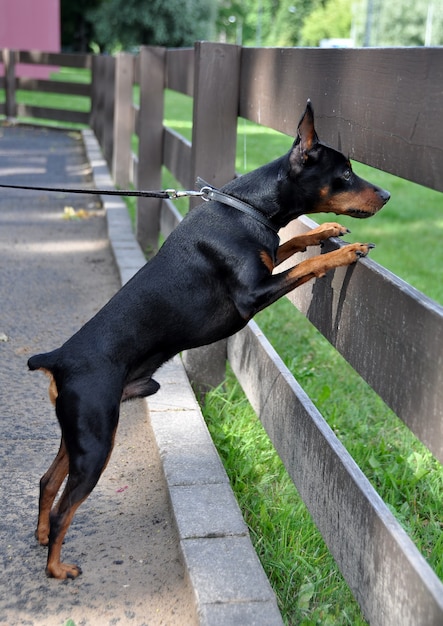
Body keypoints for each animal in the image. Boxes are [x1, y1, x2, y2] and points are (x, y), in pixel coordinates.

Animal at [28, 100, 388, 576]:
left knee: (47, 480)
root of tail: (57, 358)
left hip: (78, 432)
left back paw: (40, 538)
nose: (386, 195)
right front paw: (348, 251)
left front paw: (326, 229)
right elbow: (305, 266)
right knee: (64, 507)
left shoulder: (267, 258)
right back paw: (57, 568)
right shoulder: (254, 295)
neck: (246, 208)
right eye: (345, 173)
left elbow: (292, 245)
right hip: (96, 439)